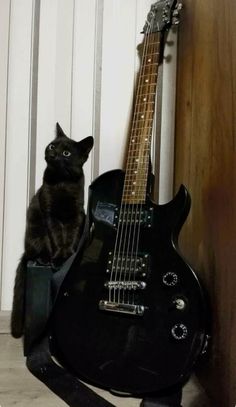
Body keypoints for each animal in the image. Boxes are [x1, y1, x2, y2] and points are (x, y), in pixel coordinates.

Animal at [10, 122, 93, 340]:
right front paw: (58, 258)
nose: (53, 154)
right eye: (52, 146)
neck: (62, 183)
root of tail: (26, 252)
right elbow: (56, 237)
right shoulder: (49, 215)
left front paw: (69, 256)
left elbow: (71, 237)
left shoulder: (77, 214)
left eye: (66, 153)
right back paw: (44, 259)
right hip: (36, 235)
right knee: (37, 251)